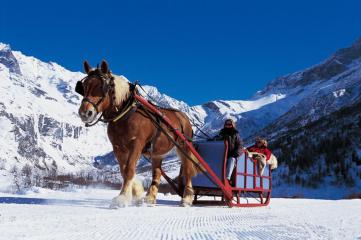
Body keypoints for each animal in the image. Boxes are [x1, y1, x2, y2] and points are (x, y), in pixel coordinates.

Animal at [76, 59, 200, 206]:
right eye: (83, 87)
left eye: (102, 87)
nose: (85, 113)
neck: (125, 113)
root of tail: (184, 117)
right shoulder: (118, 148)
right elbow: (123, 170)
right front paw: (136, 193)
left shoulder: (137, 144)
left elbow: (129, 169)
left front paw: (122, 197)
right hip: (157, 153)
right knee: (157, 172)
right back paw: (150, 198)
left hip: (184, 148)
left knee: (187, 170)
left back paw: (187, 198)